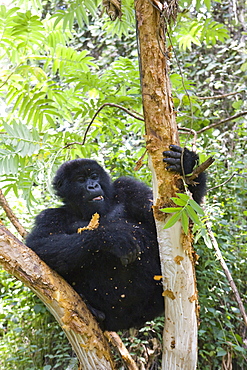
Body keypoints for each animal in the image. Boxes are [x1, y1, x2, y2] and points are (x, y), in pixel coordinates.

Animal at [25, 146, 206, 330]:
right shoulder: (50, 215)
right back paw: (93, 309)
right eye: (81, 180)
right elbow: (38, 246)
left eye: (94, 176)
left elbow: (174, 218)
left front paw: (185, 162)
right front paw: (115, 238)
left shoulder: (128, 187)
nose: (93, 186)